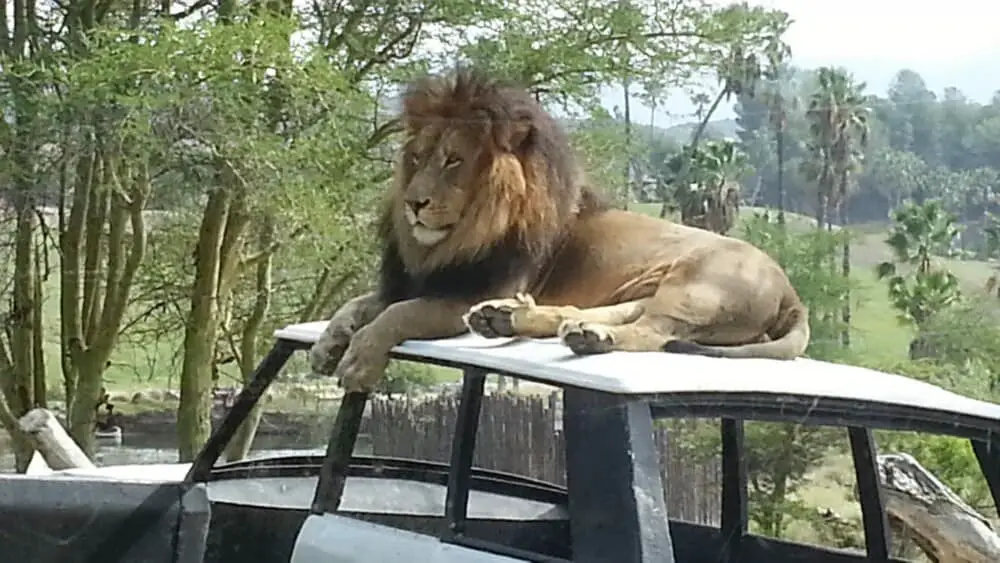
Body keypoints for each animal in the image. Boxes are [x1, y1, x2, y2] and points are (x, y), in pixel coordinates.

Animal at [312, 67, 812, 392]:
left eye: (453, 160)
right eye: (416, 158)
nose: (414, 203)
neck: (450, 243)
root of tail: (792, 293)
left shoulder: (464, 292)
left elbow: (398, 314)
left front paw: (358, 360)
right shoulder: (413, 281)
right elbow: (357, 304)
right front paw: (327, 342)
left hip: (696, 285)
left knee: (652, 332)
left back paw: (584, 337)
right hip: (655, 286)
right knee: (613, 315)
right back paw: (514, 320)